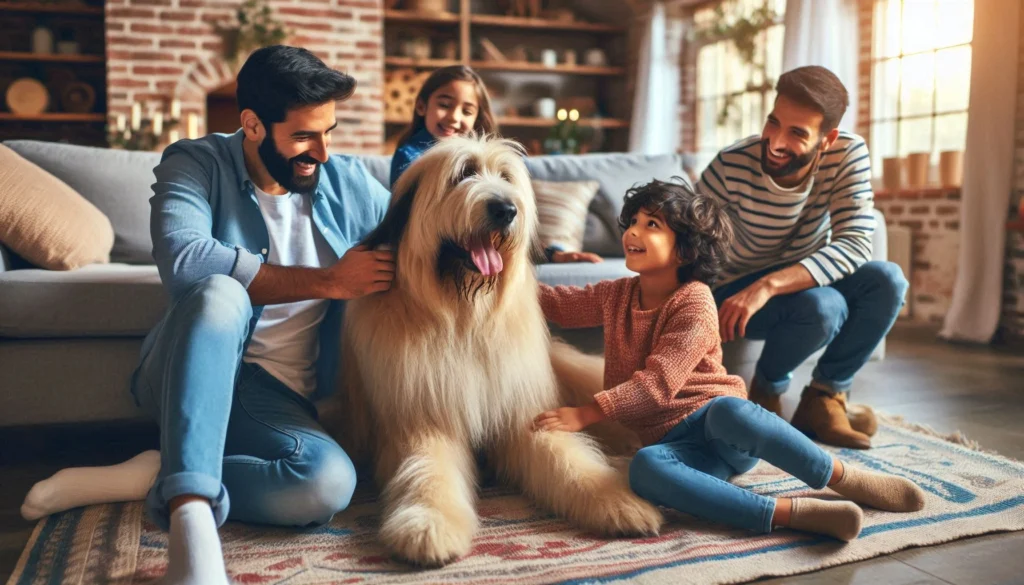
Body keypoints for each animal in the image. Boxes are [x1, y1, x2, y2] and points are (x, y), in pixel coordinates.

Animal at [323, 137, 659, 569]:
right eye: (464, 173)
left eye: (506, 177)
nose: (506, 209)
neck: (464, 318)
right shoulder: (423, 416)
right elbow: (428, 471)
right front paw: (429, 525)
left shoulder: (522, 413)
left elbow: (570, 459)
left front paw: (619, 500)